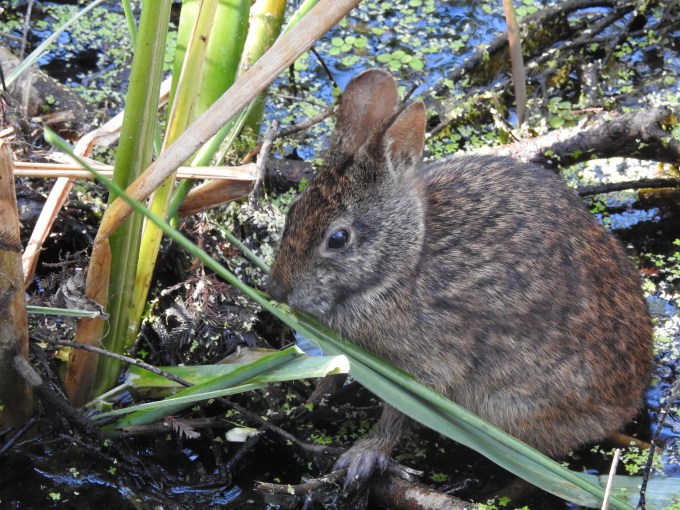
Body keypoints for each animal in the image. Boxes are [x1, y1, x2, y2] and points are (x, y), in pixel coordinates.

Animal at [267, 69, 653, 490]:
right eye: (292, 211)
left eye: (337, 238)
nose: (276, 289)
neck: (405, 261)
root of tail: (632, 399)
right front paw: (310, 399)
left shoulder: (429, 367)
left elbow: (398, 415)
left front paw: (363, 456)